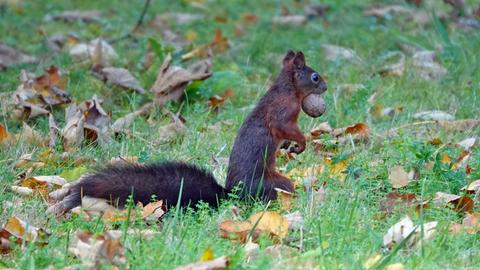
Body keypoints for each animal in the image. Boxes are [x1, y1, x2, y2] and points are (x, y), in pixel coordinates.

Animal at [54, 49, 328, 214]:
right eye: (315, 77)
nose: (325, 87)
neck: (287, 88)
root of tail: (231, 195)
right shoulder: (283, 110)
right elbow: (286, 128)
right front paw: (300, 142)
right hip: (272, 183)